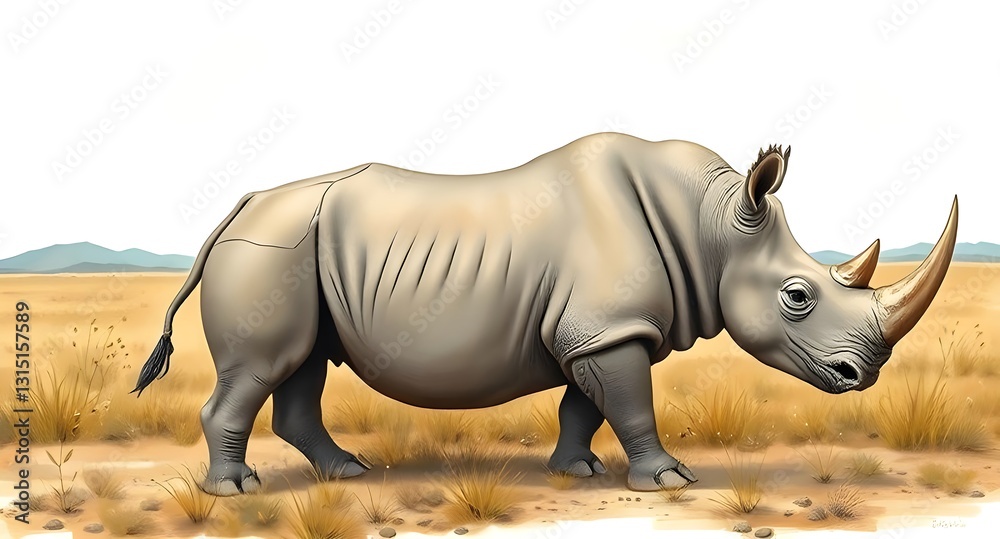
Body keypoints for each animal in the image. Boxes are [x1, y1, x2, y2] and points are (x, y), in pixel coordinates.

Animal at [134, 133, 958, 495]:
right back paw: (237, 493)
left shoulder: (598, 329)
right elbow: (632, 404)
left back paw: (347, 473)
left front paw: (579, 470)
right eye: (797, 296)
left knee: (302, 363)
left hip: (298, 253)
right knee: (264, 366)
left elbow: (584, 406)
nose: (862, 372)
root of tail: (240, 205)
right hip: (271, 246)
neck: (714, 225)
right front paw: (670, 480)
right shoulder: (608, 328)